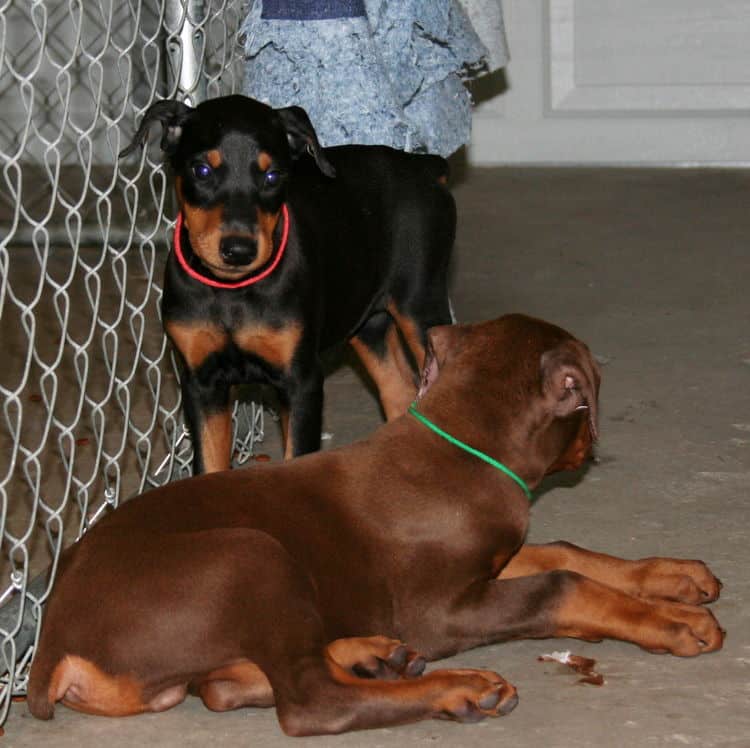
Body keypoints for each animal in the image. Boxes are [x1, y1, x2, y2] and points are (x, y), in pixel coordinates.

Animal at [27, 312, 724, 732]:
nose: (590, 449)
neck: (462, 444)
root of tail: (52, 648)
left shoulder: (490, 560)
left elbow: (564, 549)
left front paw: (674, 577)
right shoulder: (440, 609)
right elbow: (562, 583)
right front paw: (673, 622)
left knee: (227, 683)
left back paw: (372, 653)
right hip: (247, 552)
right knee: (307, 700)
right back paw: (456, 686)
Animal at [120, 95, 456, 474]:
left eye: (272, 176)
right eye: (201, 171)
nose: (239, 250)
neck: (232, 293)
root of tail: (424, 166)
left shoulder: (301, 381)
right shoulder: (201, 383)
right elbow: (210, 465)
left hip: (420, 306)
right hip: (367, 321)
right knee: (399, 391)